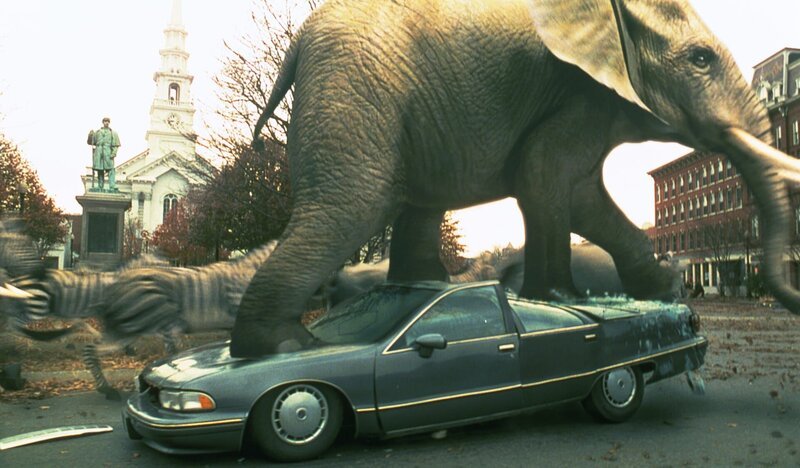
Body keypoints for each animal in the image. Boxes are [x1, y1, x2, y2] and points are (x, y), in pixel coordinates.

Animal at [230, 0, 800, 357]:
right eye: (701, 59)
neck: (611, 14)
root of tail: (299, 41)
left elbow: (583, 195)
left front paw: (662, 289)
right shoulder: (578, 93)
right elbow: (543, 175)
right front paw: (565, 298)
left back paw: (427, 289)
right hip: (354, 91)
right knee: (348, 207)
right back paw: (286, 346)